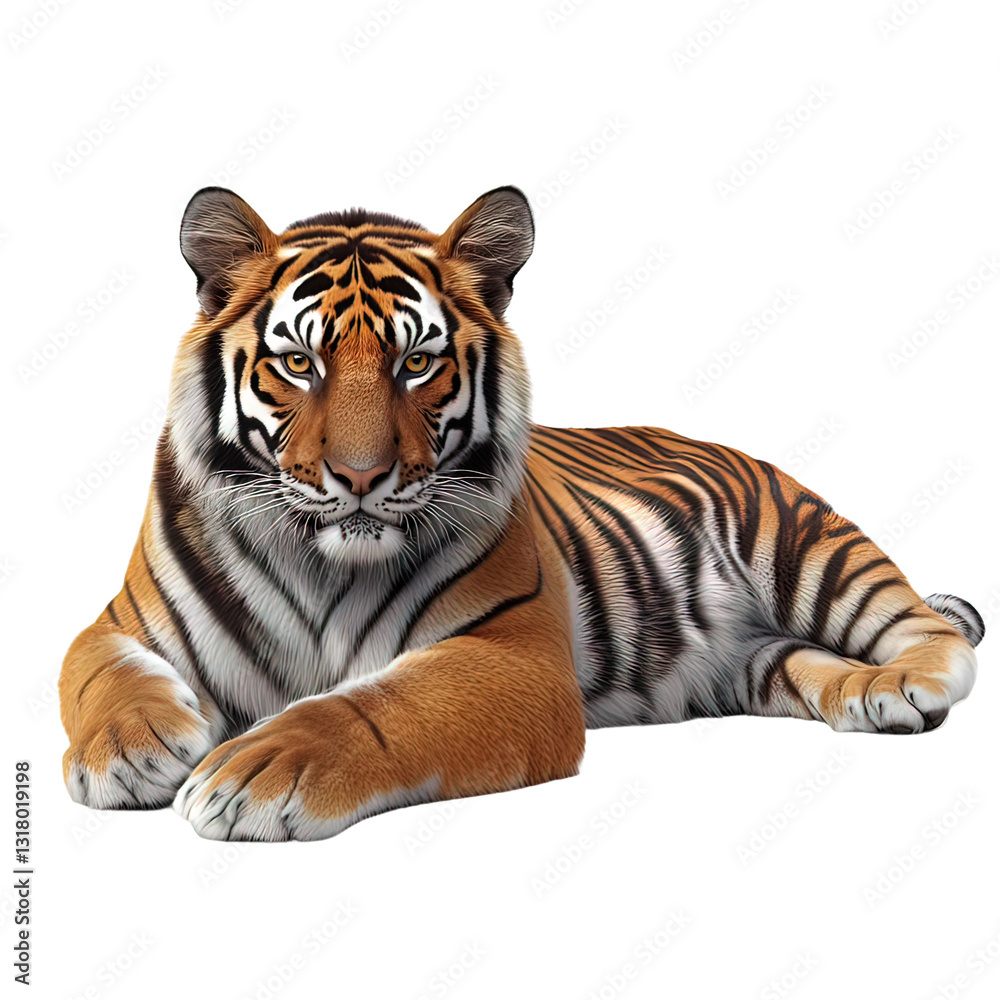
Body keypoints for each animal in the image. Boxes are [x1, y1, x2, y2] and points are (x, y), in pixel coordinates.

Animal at [58, 185, 985, 842]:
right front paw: (130, 751)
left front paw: (256, 770)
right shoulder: (120, 623)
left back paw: (905, 680)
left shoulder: (512, 657)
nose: (359, 476)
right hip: (750, 660)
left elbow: (376, 706)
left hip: (810, 547)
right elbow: (99, 673)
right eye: (298, 364)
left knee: (934, 632)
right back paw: (869, 696)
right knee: (804, 661)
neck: (321, 559)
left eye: (416, 363)